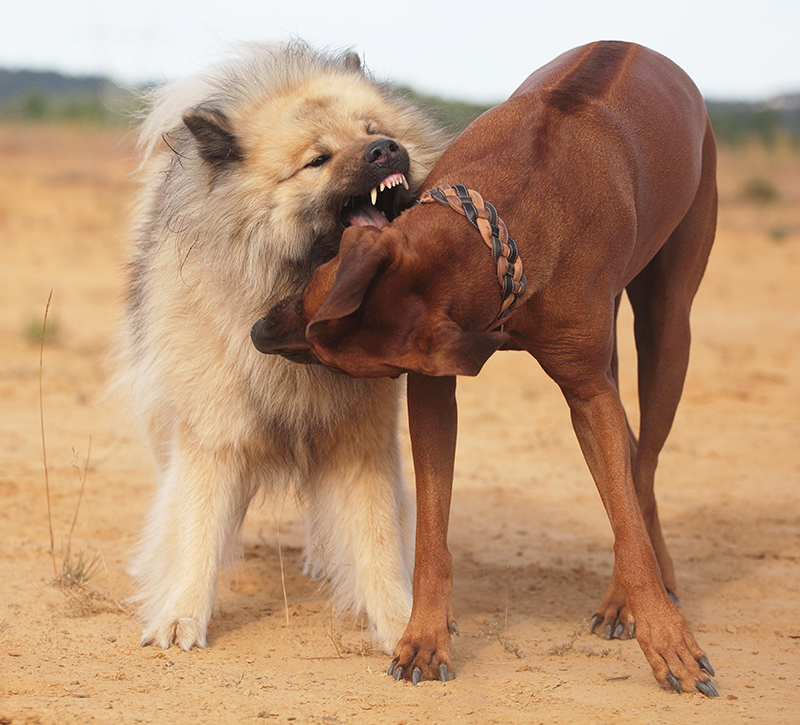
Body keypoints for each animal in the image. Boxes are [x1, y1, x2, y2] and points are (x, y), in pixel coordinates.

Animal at [255, 41, 720, 696]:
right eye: (317, 272)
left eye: (330, 356)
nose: (258, 331)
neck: (500, 226)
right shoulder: (432, 387)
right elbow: (431, 531)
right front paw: (425, 635)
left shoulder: (587, 391)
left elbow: (627, 520)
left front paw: (665, 634)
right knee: (630, 452)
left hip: (669, 320)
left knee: (644, 460)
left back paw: (628, 596)